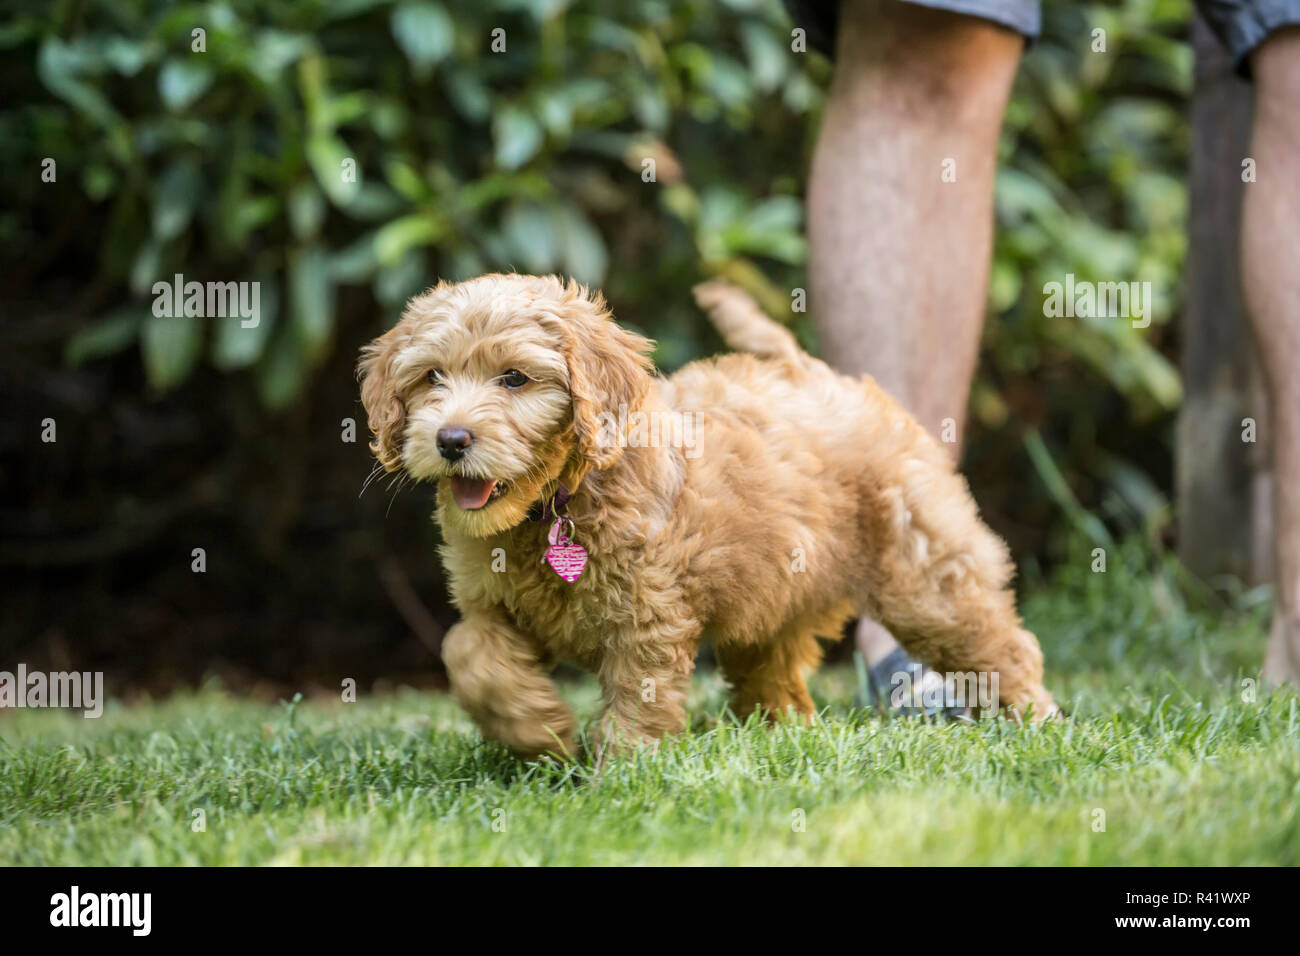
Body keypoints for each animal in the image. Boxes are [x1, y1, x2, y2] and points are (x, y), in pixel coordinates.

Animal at [358, 273, 1055, 759]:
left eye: (513, 379)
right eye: (431, 377)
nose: (450, 440)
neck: (554, 504)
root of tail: (812, 371)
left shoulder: (646, 613)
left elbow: (639, 695)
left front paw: (624, 770)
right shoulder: (489, 604)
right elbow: (469, 656)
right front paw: (538, 731)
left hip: (923, 571)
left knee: (996, 640)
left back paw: (1036, 719)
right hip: (777, 591)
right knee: (773, 668)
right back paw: (781, 732)